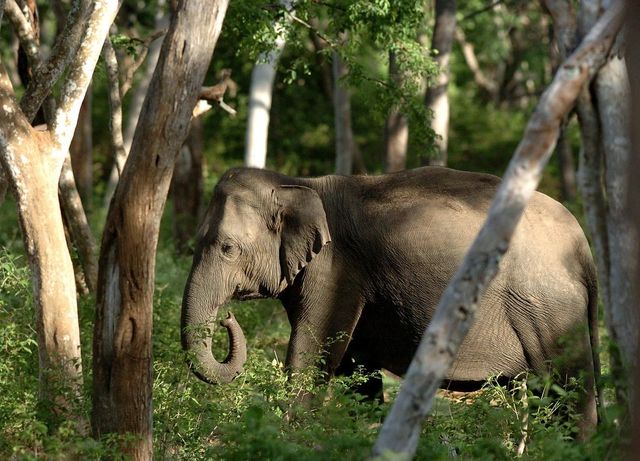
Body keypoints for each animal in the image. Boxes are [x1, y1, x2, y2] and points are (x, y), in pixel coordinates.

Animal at [181, 166, 600, 432]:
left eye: (228, 248)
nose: (227, 318)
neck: (297, 183)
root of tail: (583, 245)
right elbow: (357, 369)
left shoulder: (336, 270)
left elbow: (313, 352)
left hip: (548, 310)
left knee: (566, 391)